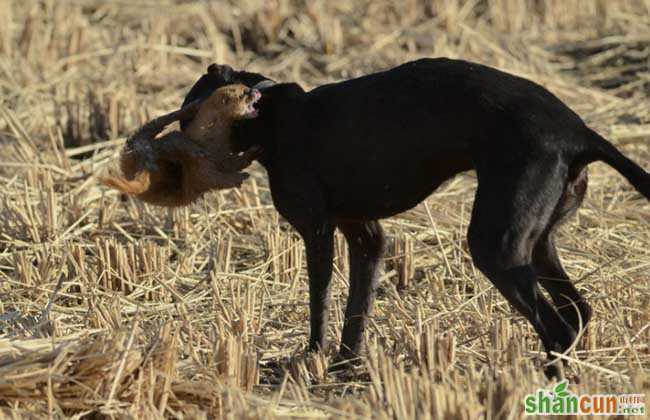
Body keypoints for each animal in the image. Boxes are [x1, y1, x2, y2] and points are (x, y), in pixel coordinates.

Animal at [104, 83, 260, 207]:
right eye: (244, 93)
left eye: (246, 85)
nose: (257, 91)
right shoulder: (203, 166)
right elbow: (219, 178)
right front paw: (243, 172)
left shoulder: (221, 157)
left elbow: (234, 164)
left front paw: (253, 153)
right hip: (149, 143)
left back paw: (192, 107)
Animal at [182, 58, 648, 378]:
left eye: (187, 113)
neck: (271, 112)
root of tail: (578, 132)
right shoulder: (366, 236)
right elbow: (357, 309)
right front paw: (343, 366)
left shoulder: (317, 230)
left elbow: (320, 300)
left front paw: (312, 357)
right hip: (536, 241)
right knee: (578, 311)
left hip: (496, 244)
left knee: (557, 326)